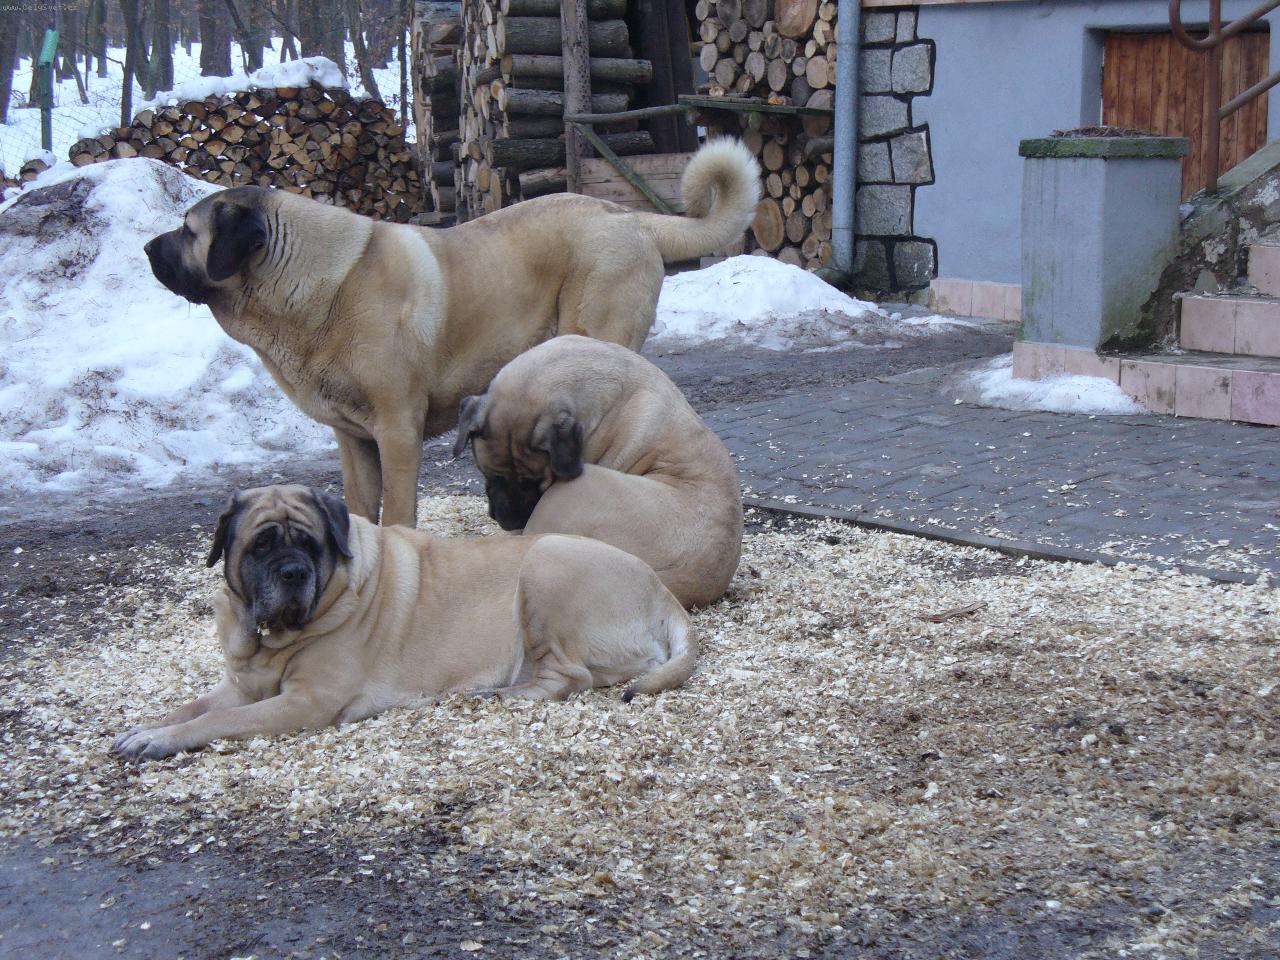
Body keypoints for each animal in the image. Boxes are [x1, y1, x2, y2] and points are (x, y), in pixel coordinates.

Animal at [110, 484, 695, 761]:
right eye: (260, 546)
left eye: (310, 544)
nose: (294, 572)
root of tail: (664, 595)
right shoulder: (242, 685)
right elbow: (192, 707)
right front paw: (146, 727)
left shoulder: (304, 702)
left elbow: (217, 721)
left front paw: (159, 741)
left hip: (545, 565)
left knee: (568, 678)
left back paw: (492, 694)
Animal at [143, 141, 761, 528]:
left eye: (187, 230)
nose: (148, 247)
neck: (317, 283)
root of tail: (625, 214)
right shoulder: (352, 438)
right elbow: (361, 505)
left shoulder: (397, 428)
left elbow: (397, 509)